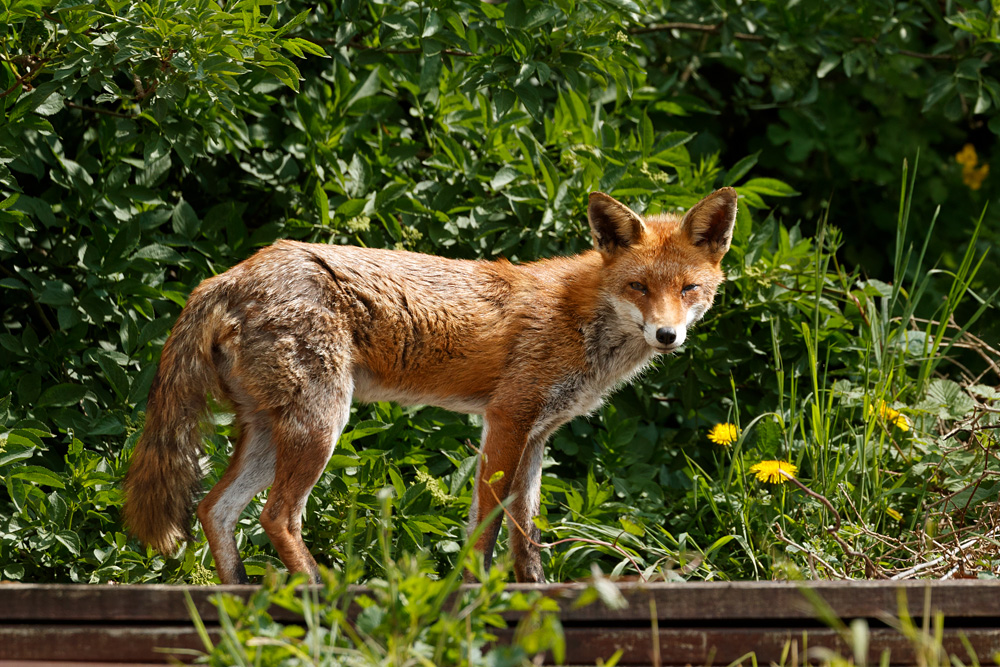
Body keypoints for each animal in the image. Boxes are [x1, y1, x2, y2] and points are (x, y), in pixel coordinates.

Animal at [123, 187, 738, 584]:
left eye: (689, 289)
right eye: (638, 287)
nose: (667, 335)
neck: (578, 316)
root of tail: (226, 276)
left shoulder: (538, 435)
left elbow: (525, 534)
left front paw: (533, 593)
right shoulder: (507, 418)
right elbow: (486, 524)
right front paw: (473, 591)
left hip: (270, 432)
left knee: (215, 510)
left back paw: (238, 597)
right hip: (321, 423)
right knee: (277, 516)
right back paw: (320, 593)